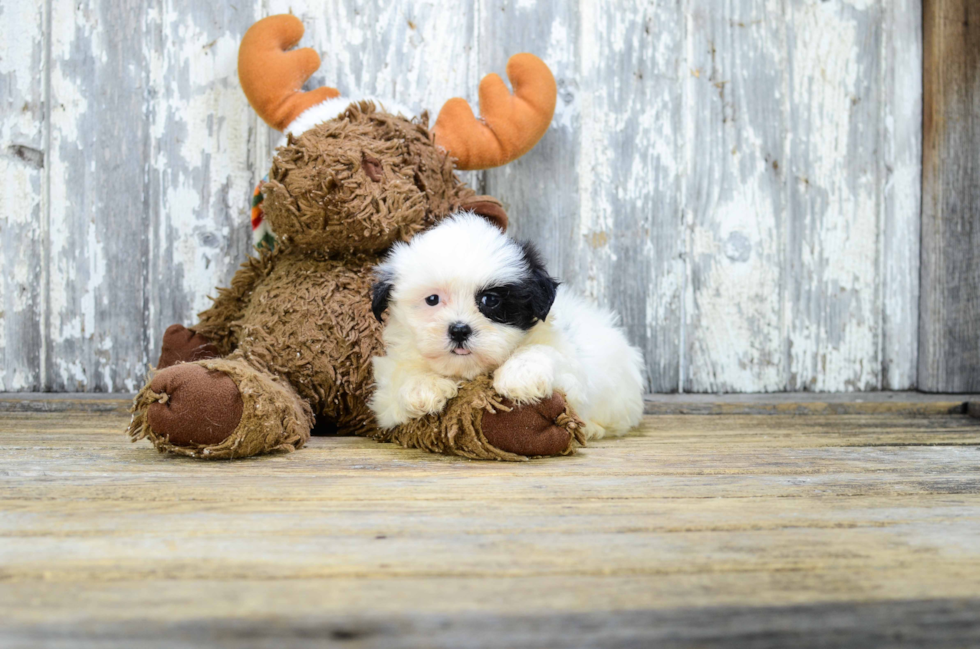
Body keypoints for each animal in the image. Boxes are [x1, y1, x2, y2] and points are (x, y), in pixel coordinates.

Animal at [368, 213, 644, 440]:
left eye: (491, 301)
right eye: (432, 299)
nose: (459, 330)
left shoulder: (570, 372)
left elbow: (543, 353)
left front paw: (520, 376)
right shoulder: (385, 399)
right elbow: (401, 377)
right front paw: (423, 387)